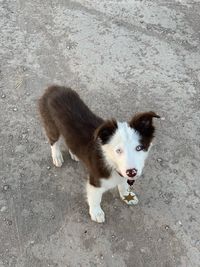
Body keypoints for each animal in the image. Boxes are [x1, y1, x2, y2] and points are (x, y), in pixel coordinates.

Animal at [38, 86, 159, 224]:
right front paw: (96, 213)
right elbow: (95, 198)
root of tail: (53, 88)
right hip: (51, 124)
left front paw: (126, 195)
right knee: (54, 141)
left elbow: (123, 183)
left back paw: (74, 154)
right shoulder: (95, 180)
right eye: (118, 150)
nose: (132, 172)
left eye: (139, 148)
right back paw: (57, 156)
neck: (111, 162)